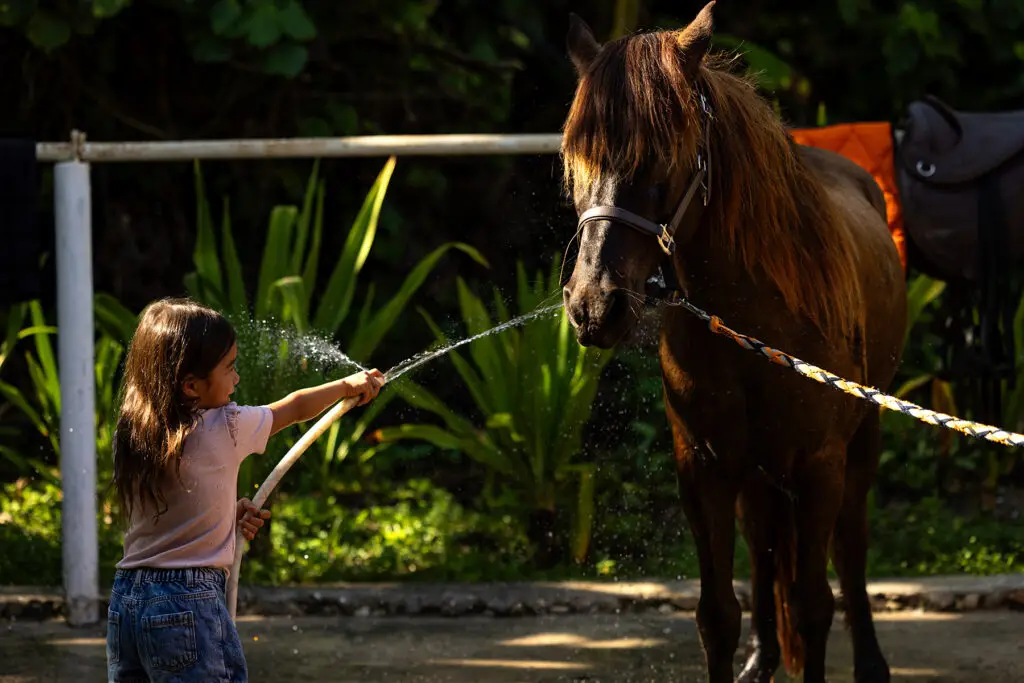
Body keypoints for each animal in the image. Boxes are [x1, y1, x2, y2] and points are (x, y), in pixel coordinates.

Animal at [559, 3, 907, 683]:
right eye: (577, 162)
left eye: (660, 156)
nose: (593, 306)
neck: (756, 325)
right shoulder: (705, 467)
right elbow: (717, 614)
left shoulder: (820, 465)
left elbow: (814, 603)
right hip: (755, 474)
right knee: (766, 546)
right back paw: (762, 658)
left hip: (863, 440)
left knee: (851, 548)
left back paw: (872, 662)